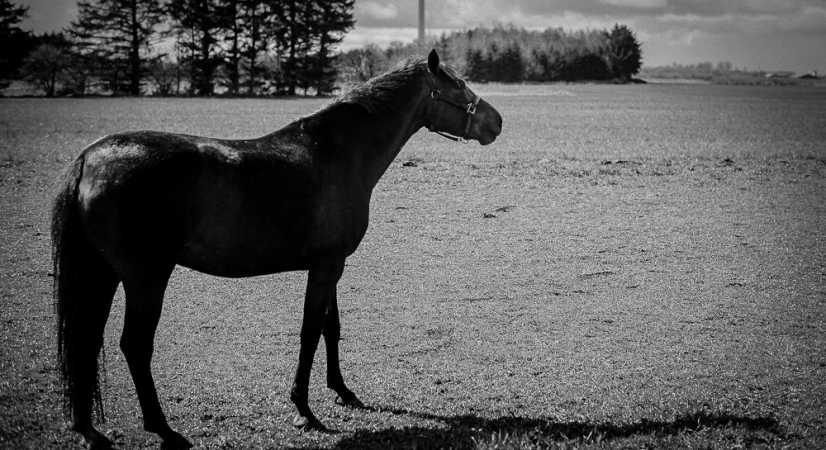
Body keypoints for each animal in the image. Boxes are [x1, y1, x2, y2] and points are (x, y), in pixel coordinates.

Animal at [51, 49, 502, 449]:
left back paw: (88, 429)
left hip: (104, 274)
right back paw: (164, 430)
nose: (496, 121)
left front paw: (343, 391)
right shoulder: (326, 266)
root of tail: (89, 160)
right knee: (134, 346)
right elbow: (309, 332)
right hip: (145, 278)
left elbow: (331, 328)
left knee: (86, 340)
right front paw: (304, 409)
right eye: (458, 85)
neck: (336, 152)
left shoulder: (330, 265)